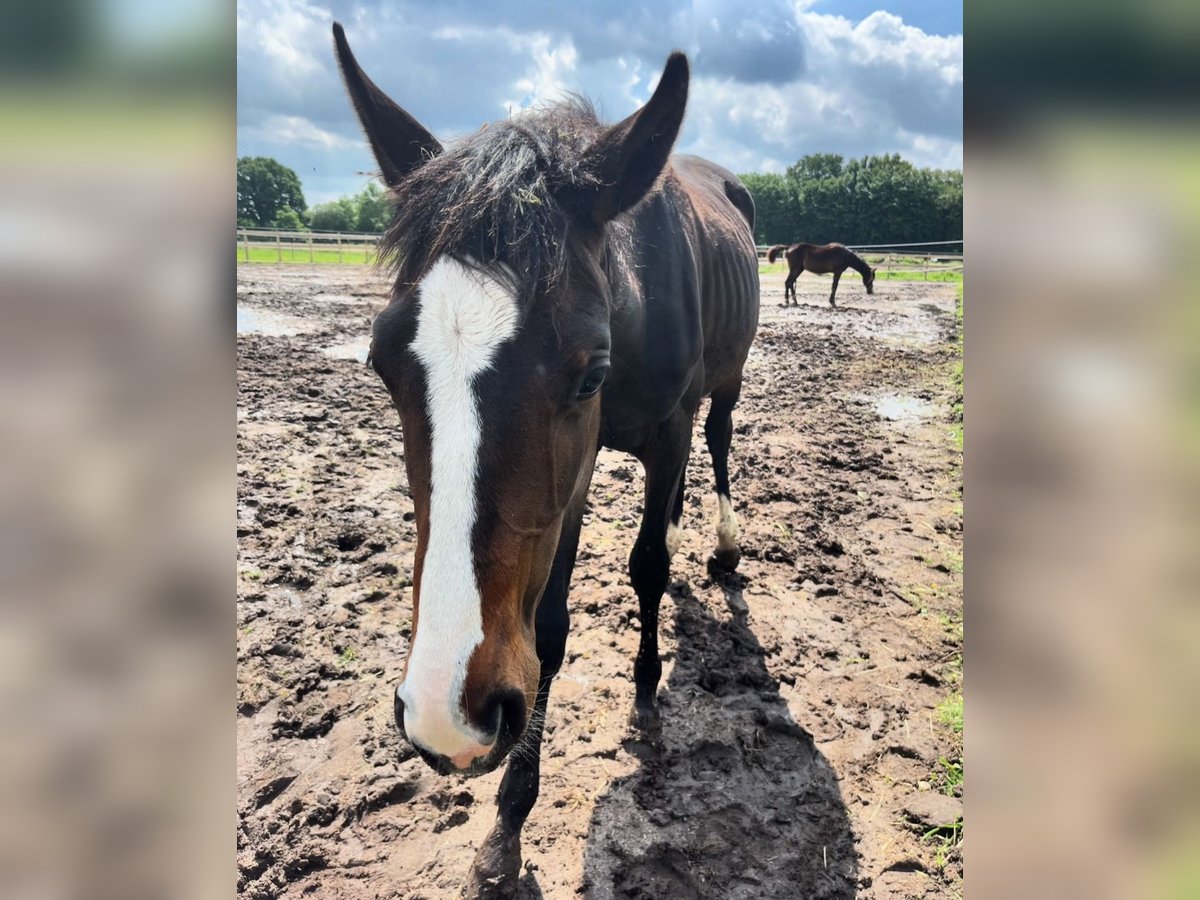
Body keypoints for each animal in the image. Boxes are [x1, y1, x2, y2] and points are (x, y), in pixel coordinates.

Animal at [333, 24, 753, 897]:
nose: (447, 715)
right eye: (382, 365)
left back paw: (724, 549)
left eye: (590, 371)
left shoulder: (665, 432)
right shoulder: (576, 472)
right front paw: (507, 824)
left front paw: (647, 695)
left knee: (721, 445)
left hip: (725, 387)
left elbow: (647, 566)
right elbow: (550, 625)